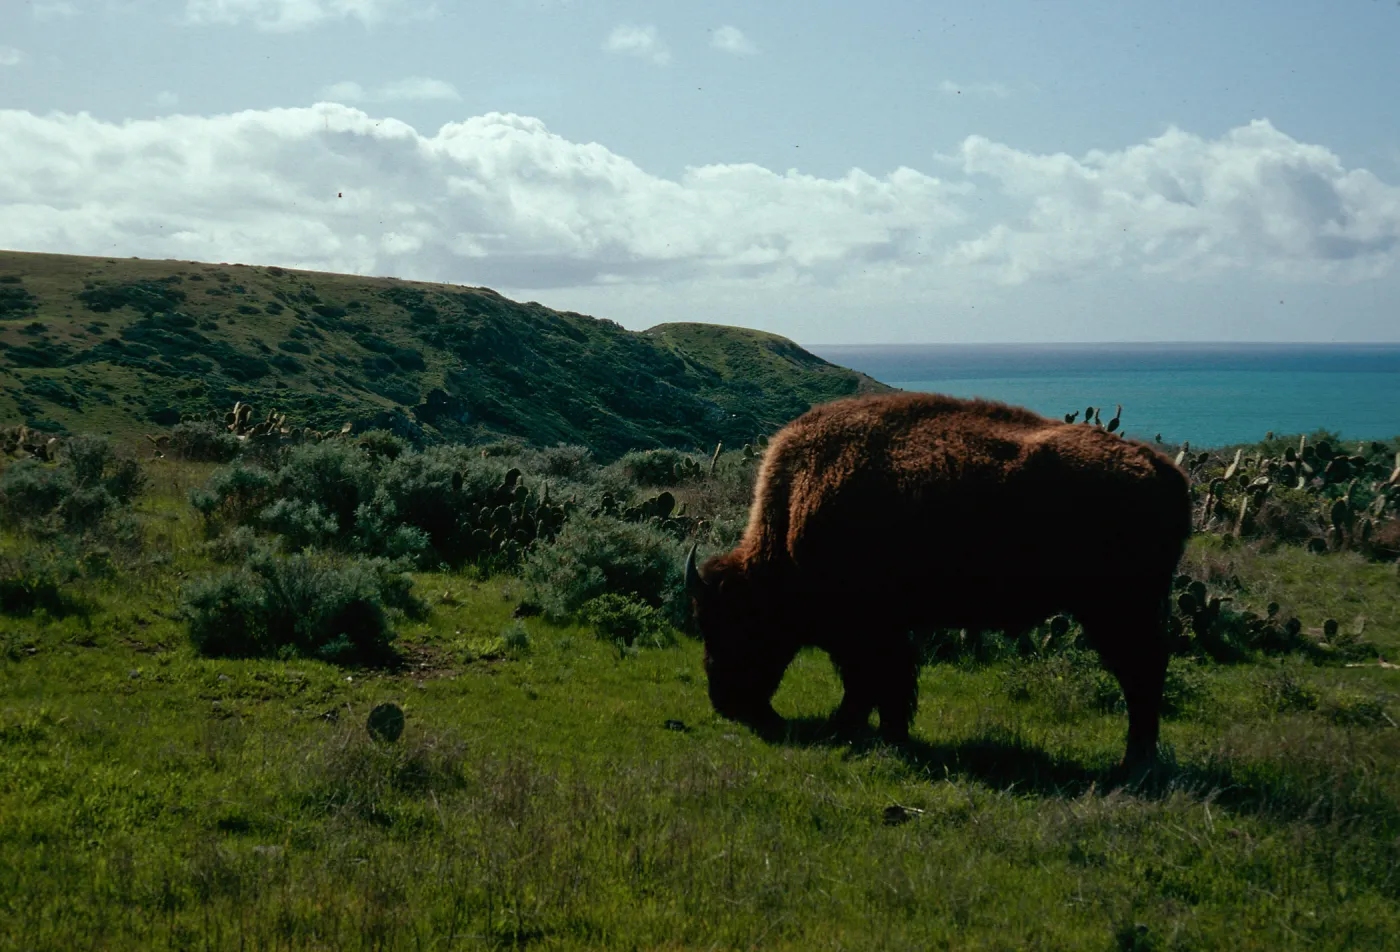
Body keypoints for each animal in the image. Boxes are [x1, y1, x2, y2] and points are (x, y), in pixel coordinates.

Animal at [686, 393, 1192, 767]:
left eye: (733, 624)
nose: (725, 703)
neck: (796, 508)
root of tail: (1163, 469)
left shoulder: (869, 630)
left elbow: (876, 680)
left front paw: (860, 730)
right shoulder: (879, 631)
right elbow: (877, 681)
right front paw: (872, 731)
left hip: (1117, 611)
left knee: (1142, 671)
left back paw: (1134, 761)